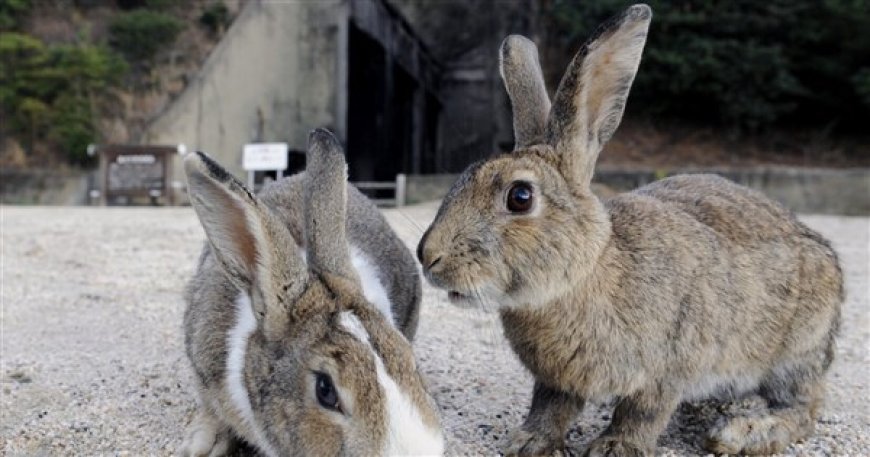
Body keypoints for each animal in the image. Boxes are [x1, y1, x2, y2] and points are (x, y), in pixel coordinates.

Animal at [416, 4, 844, 456]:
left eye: (520, 196)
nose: (428, 256)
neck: (584, 275)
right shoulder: (557, 380)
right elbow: (550, 407)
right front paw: (529, 441)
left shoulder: (669, 366)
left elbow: (643, 412)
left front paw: (614, 447)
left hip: (795, 351)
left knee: (803, 408)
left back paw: (741, 432)